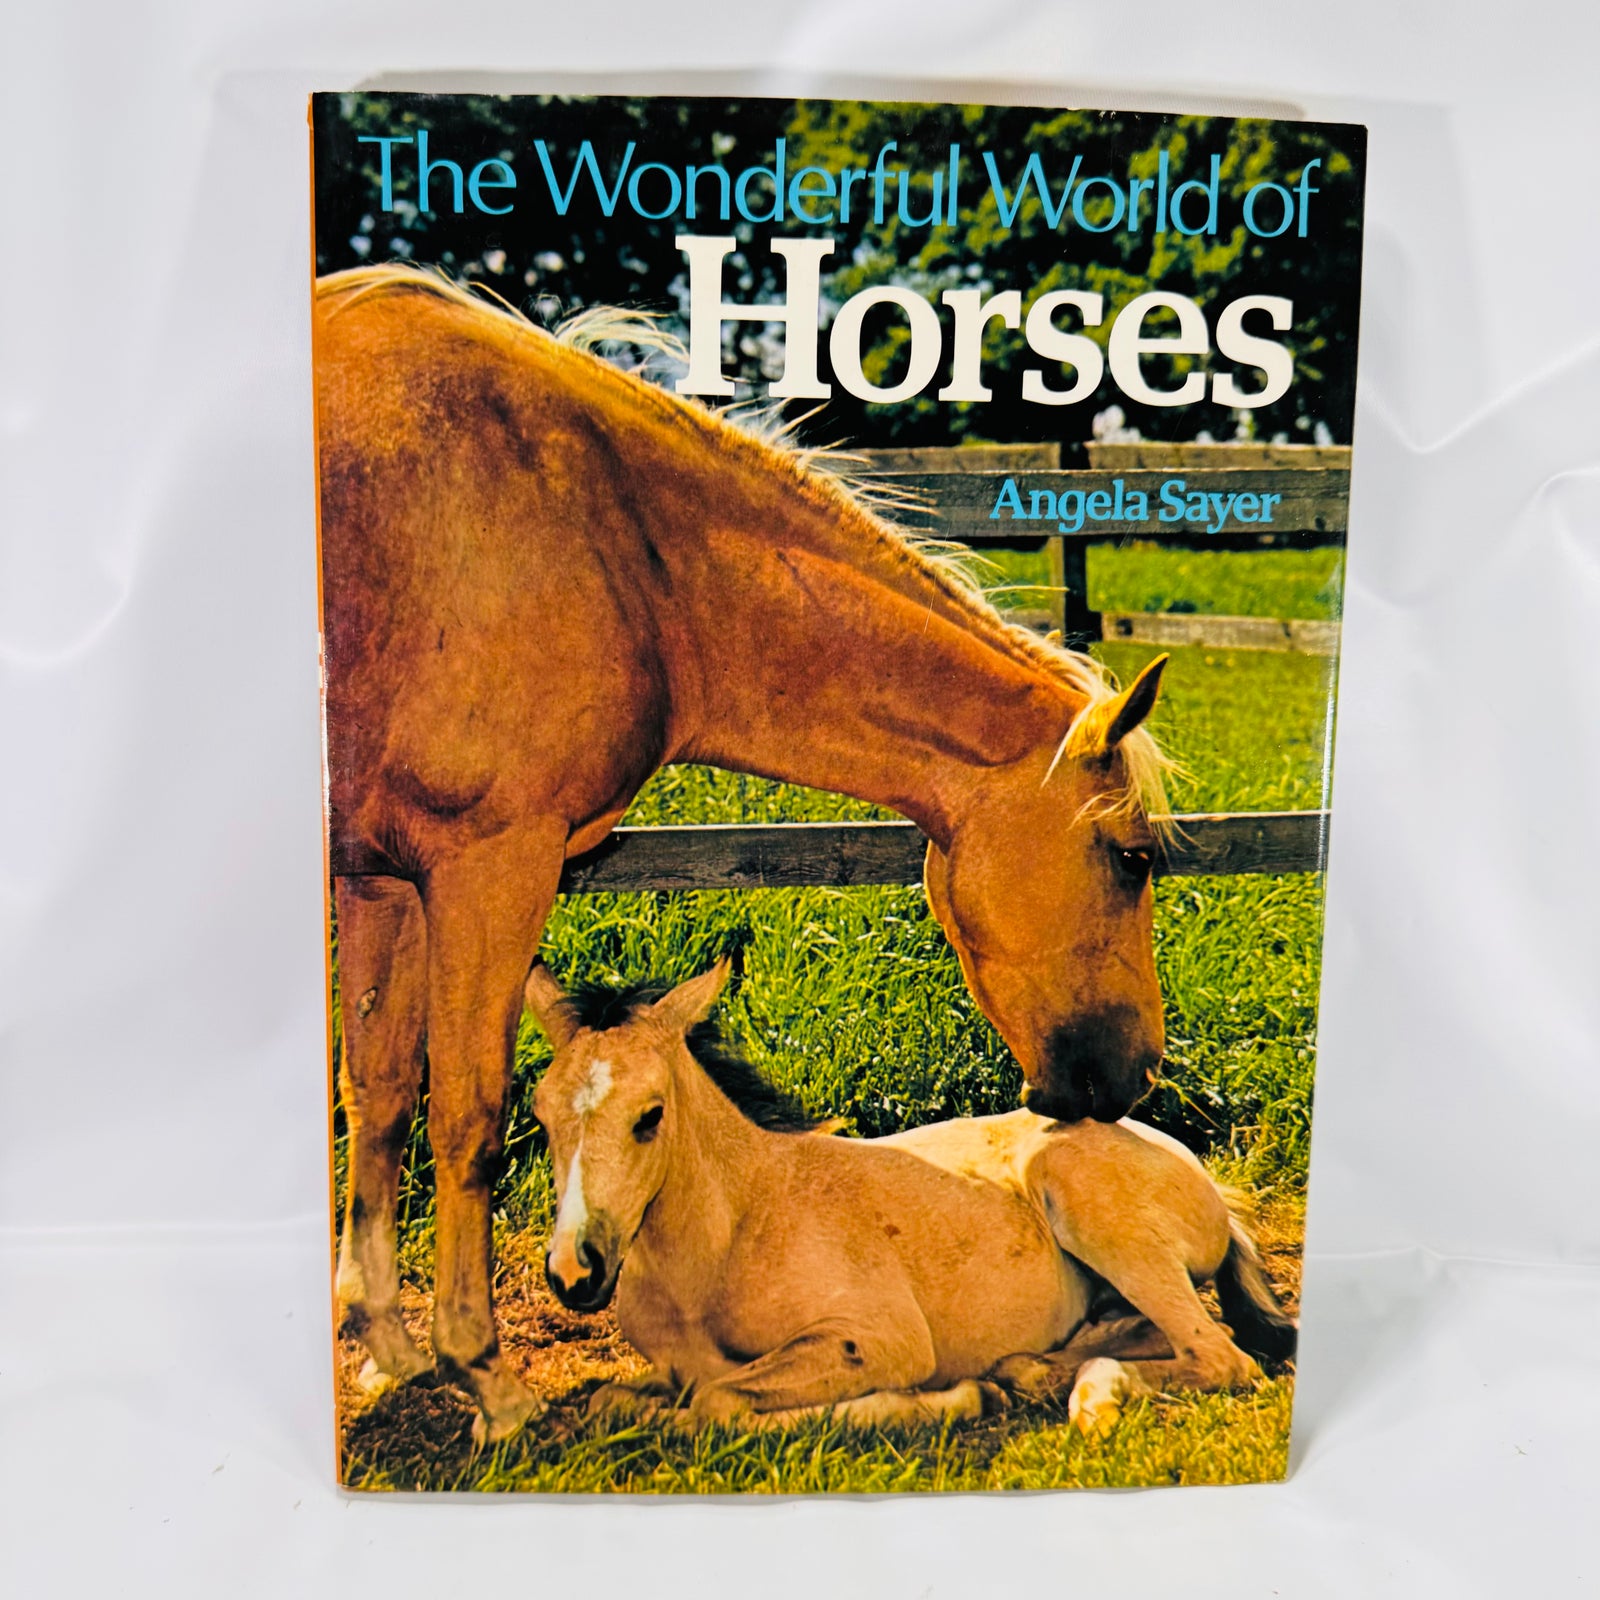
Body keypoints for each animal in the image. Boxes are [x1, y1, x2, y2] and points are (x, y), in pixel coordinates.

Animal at [315, 263, 1174, 1440]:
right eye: (1132, 859)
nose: (1135, 1075)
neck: (615, 540)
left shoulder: (383, 878)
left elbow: (381, 1094)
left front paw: (391, 1346)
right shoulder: (488, 867)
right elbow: (470, 1118)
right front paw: (481, 1371)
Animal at [524, 960, 1295, 1433]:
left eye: (649, 1116)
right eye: (541, 1115)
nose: (575, 1273)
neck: (733, 1233)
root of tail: (1206, 1182)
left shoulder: (876, 1340)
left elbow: (717, 1402)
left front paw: (945, 1400)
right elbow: (612, 1401)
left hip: (1094, 1213)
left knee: (1221, 1356)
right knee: (1160, 1337)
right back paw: (1036, 1371)